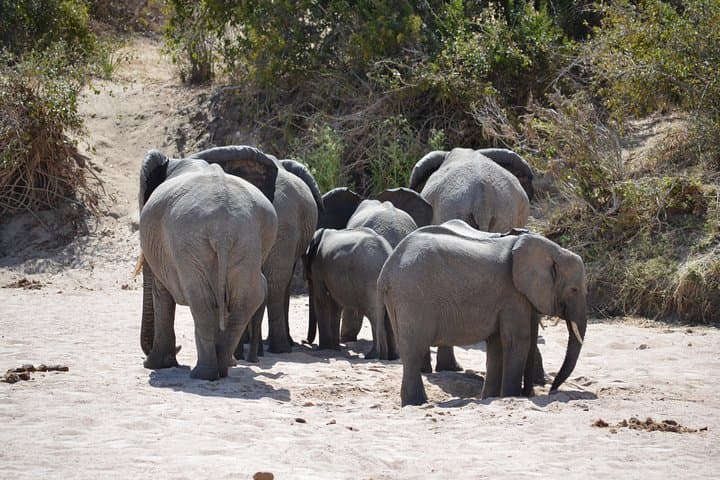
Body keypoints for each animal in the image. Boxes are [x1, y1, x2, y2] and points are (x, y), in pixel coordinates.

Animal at [138, 149, 278, 380]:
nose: (178, 348)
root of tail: (222, 229)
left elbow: (161, 293)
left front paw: (155, 365)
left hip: (189, 242)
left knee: (201, 300)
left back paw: (203, 373)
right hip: (247, 240)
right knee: (244, 300)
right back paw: (221, 369)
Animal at [189, 146, 323, 355]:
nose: (306, 340)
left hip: (284, 226)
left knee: (274, 281)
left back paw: (277, 348)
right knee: (275, 281)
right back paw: (275, 347)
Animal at [304, 227, 393, 357]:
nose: (304, 341)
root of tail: (386, 252)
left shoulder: (317, 267)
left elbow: (321, 299)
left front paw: (324, 348)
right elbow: (335, 304)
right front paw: (335, 349)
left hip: (368, 278)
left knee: (373, 313)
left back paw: (373, 355)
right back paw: (391, 357)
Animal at [377, 219, 586, 406]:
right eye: (574, 289)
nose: (552, 391)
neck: (551, 249)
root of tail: (386, 270)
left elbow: (497, 344)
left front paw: (491, 397)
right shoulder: (512, 294)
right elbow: (517, 339)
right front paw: (511, 396)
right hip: (413, 297)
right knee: (414, 349)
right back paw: (418, 403)